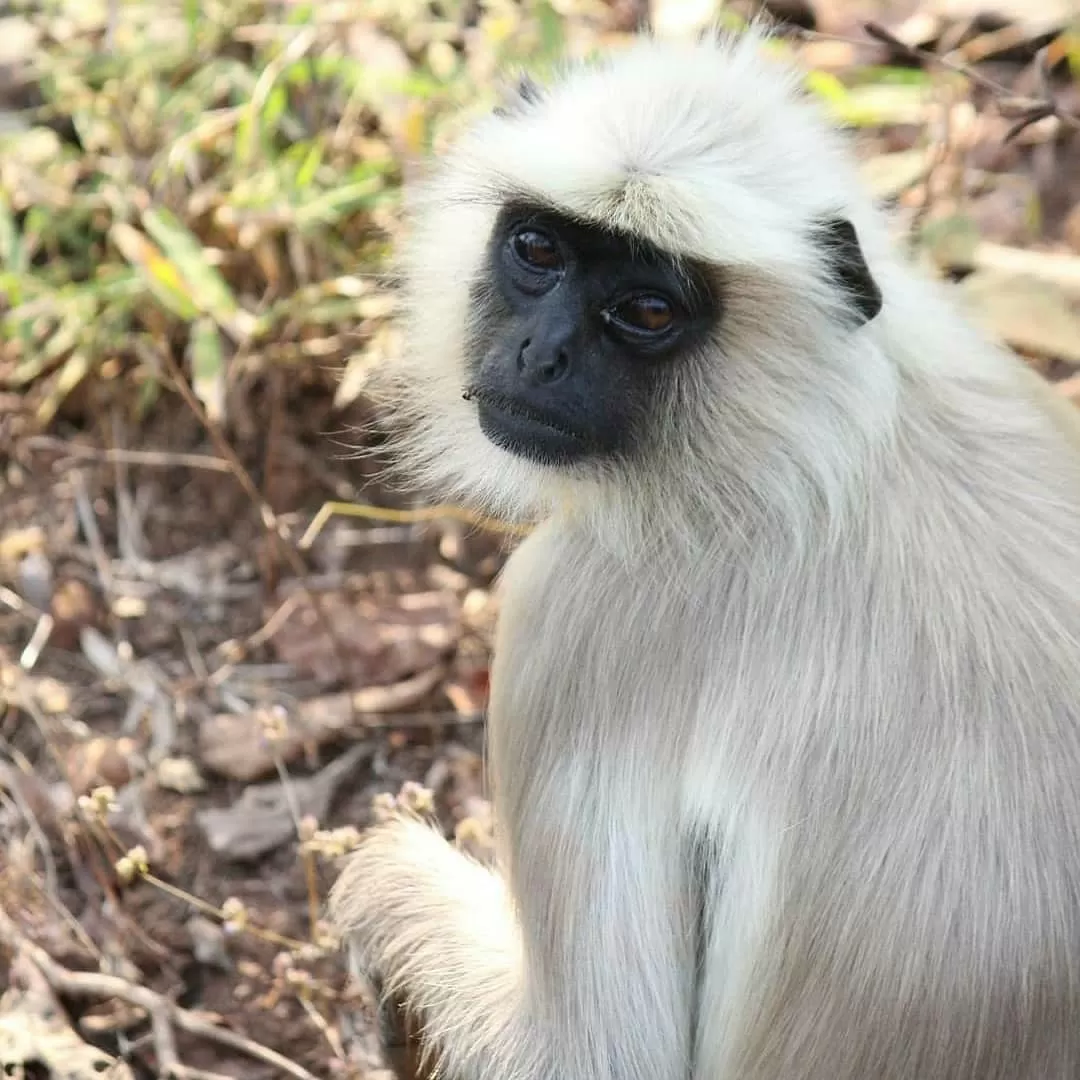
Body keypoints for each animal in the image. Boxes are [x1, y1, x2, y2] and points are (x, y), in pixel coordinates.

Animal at [326, 25, 1080, 1080]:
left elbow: (593, 1051)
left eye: (646, 312)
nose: (541, 355)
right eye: (538, 250)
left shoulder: (572, 609)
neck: (820, 431)